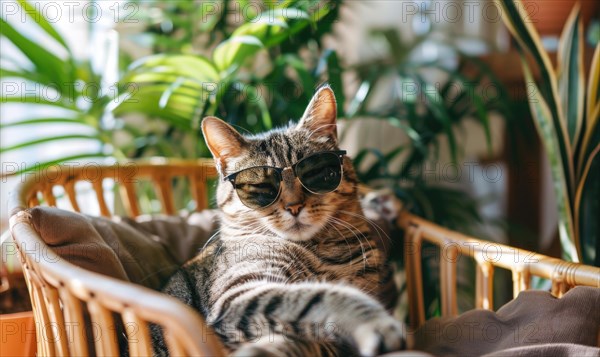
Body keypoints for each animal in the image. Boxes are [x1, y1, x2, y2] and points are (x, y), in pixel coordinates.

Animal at [154, 86, 408, 356]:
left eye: (315, 172)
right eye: (261, 186)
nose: (293, 206)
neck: (323, 252)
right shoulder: (238, 295)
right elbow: (316, 298)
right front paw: (375, 323)